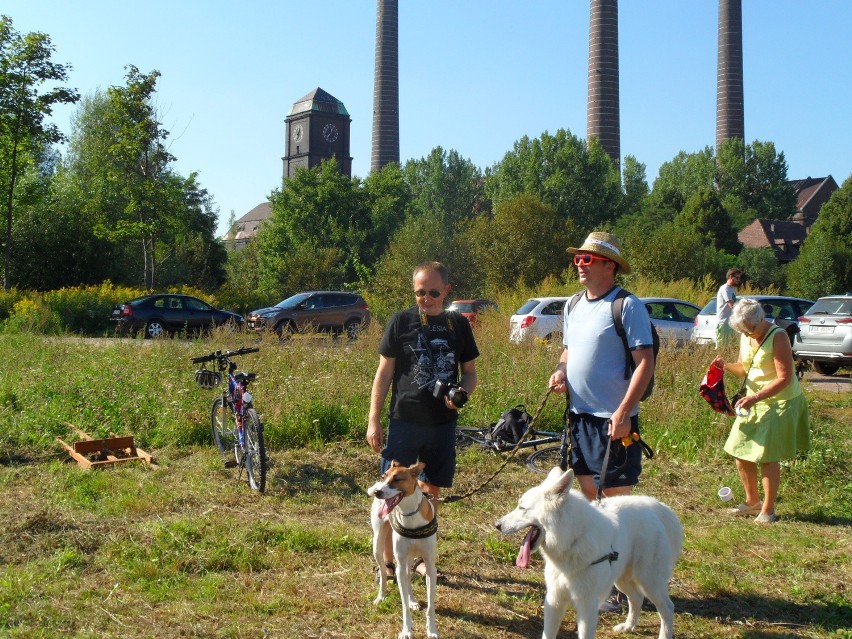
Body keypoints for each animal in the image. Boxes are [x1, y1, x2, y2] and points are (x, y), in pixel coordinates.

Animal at [368, 460, 440, 639]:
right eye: (384, 477)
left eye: (397, 479)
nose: (378, 492)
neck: (410, 515)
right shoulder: (399, 564)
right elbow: (404, 606)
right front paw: (406, 630)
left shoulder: (430, 566)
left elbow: (430, 605)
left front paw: (432, 630)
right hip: (378, 546)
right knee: (385, 574)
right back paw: (381, 596)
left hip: (408, 558)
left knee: (408, 579)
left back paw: (413, 601)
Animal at [492, 464, 684, 639]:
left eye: (522, 508)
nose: (497, 525)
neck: (573, 540)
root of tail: (655, 507)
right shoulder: (554, 601)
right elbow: (548, 634)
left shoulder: (587, 607)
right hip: (622, 579)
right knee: (637, 598)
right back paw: (628, 627)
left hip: (649, 581)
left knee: (667, 608)